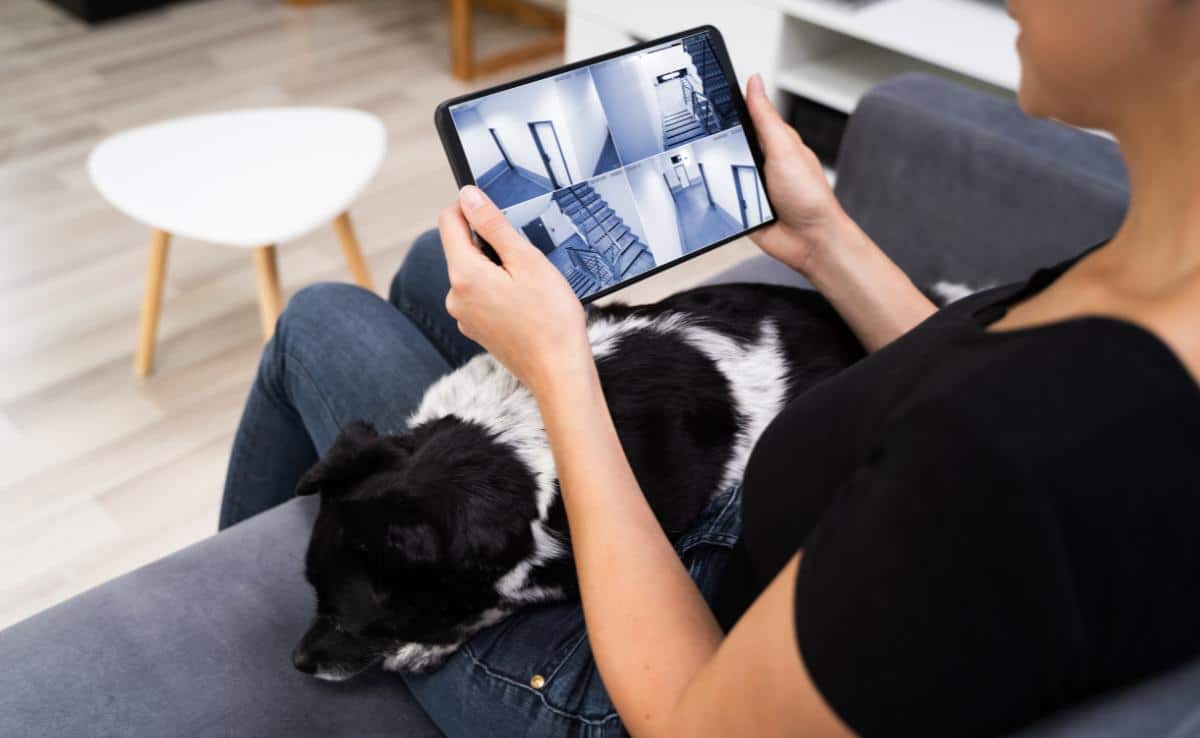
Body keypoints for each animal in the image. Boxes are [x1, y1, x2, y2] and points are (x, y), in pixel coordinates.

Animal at [288, 283, 864, 681]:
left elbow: (498, 599)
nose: (296, 661)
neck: (503, 445)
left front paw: (428, 642)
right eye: (311, 595)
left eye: (347, 622)